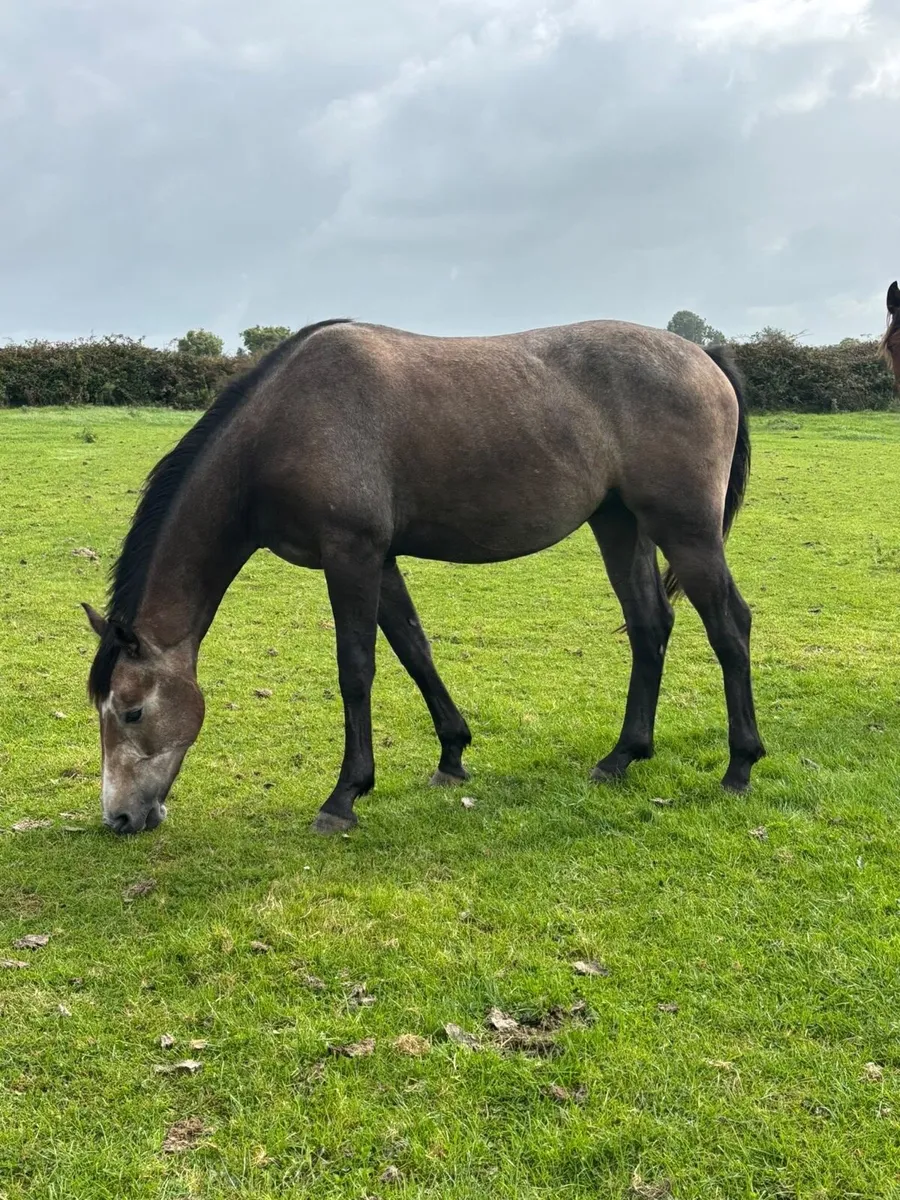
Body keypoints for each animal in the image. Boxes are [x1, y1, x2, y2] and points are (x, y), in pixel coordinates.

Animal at [82, 317, 765, 836]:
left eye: (132, 712)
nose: (119, 817)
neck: (284, 424)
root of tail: (703, 355)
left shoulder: (351, 554)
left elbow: (356, 670)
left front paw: (344, 797)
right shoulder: (379, 560)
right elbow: (414, 649)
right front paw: (452, 754)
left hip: (686, 530)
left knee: (730, 626)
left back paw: (740, 766)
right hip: (621, 523)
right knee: (650, 626)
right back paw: (624, 755)